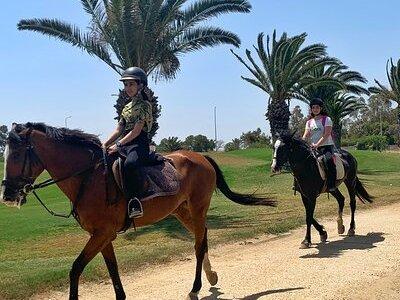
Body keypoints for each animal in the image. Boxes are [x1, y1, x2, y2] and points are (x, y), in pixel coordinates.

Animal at [0, 122, 276, 300]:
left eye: (16, 154)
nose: (7, 195)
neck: (88, 177)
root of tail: (201, 157)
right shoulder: (103, 235)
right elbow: (112, 270)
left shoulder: (102, 234)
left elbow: (75, 269)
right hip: (181, 211)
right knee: (203, 236)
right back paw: (212, 277)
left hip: (198, 207)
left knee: (199, 244)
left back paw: (196, 287)